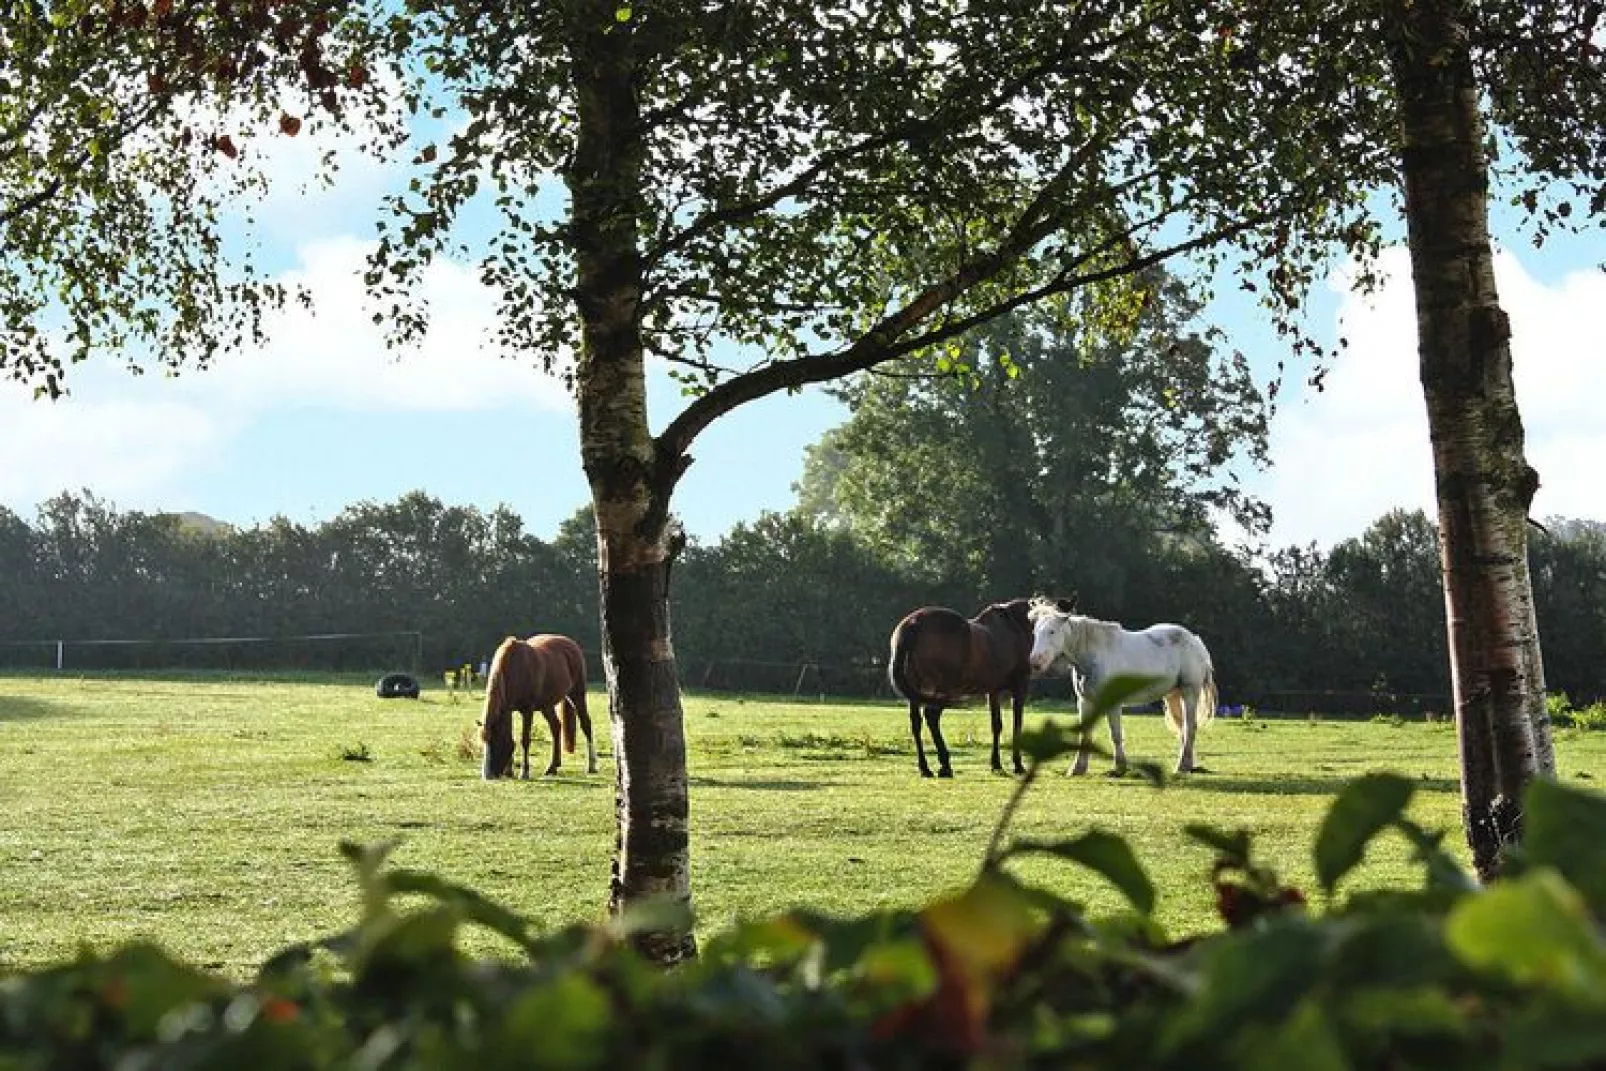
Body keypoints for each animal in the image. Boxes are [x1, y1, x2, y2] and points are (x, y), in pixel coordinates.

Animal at [485, 632, 600, 783]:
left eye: (495, 742)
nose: (487, 775)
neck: (514, 667)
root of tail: (571, 644)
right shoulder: (508, 709)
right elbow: (510, 736)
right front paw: (509, 771)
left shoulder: (527, 711)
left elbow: (524, 740)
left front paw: (524, 772)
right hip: (547, 705)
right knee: (556, 727)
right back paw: (552, 767)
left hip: (577, 695)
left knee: (586, 724)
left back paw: (591, 765)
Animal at [886, 594, 1034, 780]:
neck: (1014, 627)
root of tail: (913, 623)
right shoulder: (1020, 686)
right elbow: (1017, 725)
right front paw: (1018, 765)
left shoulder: (993, 691)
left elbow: (996, 725)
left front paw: (996, 764)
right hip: (943, 687)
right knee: (932, 717)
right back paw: (945, 765)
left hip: (916, 690)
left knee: (916, 723)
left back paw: (925, 768)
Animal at [1027, 600, 1214, 773]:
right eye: (1035, 633)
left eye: (1051, 631)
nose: (1035, 663)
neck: (1094, 655)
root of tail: (1195, 640)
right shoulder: (1085, 701)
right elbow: (1085, 735)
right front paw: (1078, 768)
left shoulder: (1113, 703)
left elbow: (1116, 734)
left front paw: (1119, 767)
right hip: (1173, 695)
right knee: (1183, 729)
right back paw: (1187, 764)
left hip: (1189, 692)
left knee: (1189, 727)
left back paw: (1183, 766)